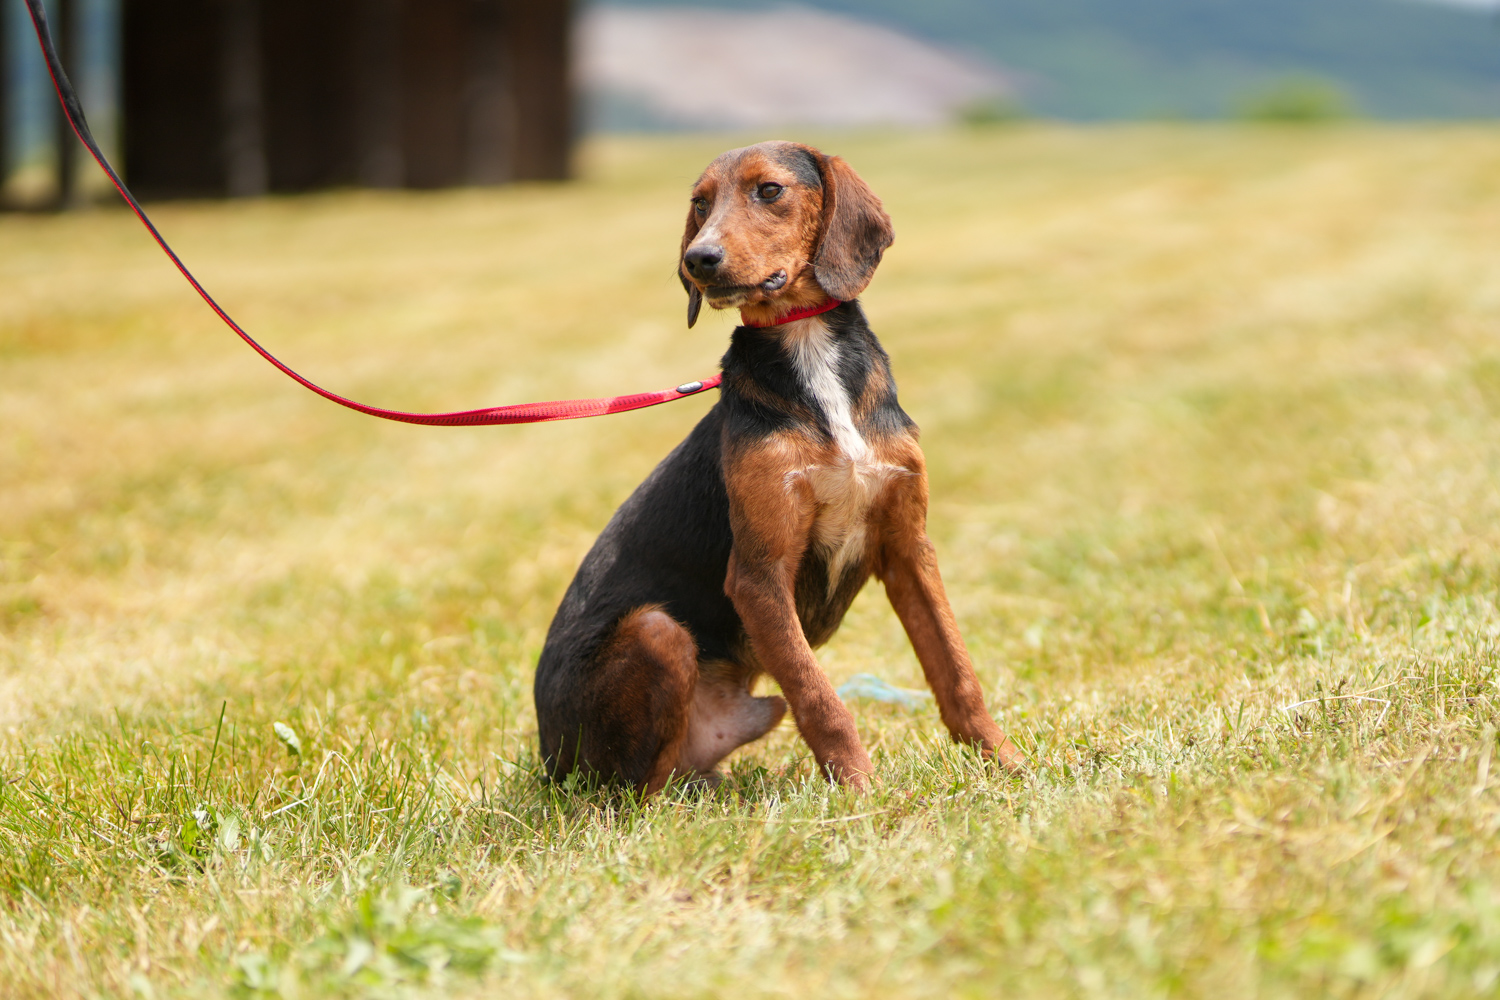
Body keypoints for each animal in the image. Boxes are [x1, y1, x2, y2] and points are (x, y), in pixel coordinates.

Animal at [531, 142, 1020, 797]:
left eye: (769, 191)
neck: (805, 342)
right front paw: (862, 793)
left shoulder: (909, 548)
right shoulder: (758, 574)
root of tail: (547, 761)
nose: (698, 260)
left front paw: (1008, 764)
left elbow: (956, 671)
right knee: (634, 791)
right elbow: (821, 699)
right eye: (700, 204)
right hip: (656, 632)